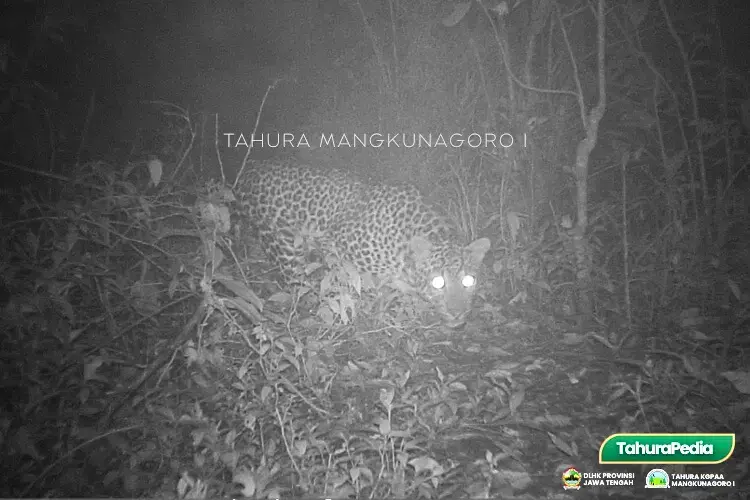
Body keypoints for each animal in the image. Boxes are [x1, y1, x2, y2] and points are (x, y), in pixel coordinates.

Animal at [235, 159, 490, 327]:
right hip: (282, 240)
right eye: (438, 282)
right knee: (294, 279)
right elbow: (353, 289)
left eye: (469, 281)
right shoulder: (336, 244)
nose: (457, 314)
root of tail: (250, 170)